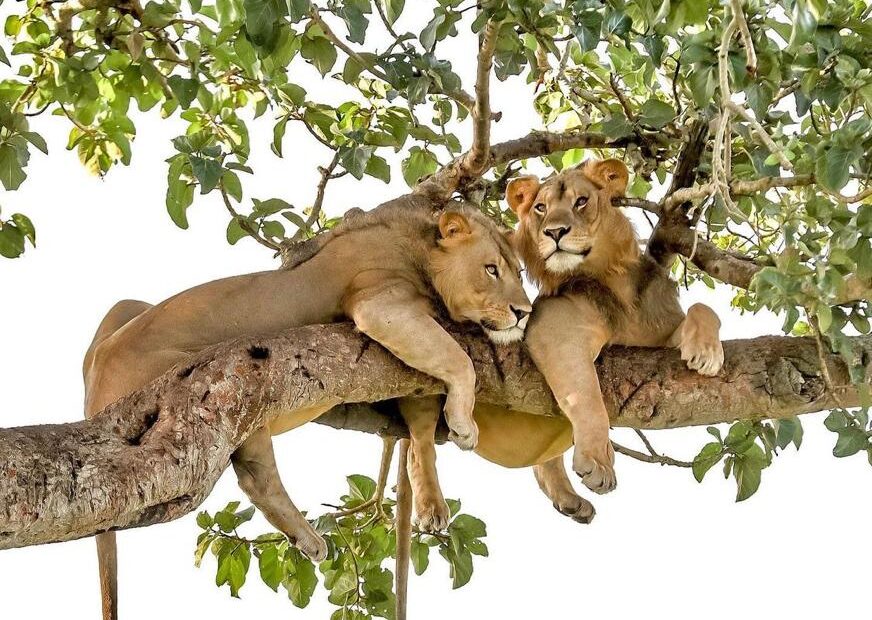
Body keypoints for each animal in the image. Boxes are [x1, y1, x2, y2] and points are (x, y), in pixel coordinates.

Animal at [82, 197, 532, 620]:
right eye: (491, 270)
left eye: (518, 272)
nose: (523, 313)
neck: (419, 248)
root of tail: (93, 391)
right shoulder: (382, 307)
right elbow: (459, 359)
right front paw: (464, 424)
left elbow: (421, 437)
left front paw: (431, 504)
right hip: (222, 376)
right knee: (257, 479)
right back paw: (310, 540)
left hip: (126, 308)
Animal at [403, 159, 724, 528]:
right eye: (541, 208)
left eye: (581, 201)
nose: (554, 233)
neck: (616, 281)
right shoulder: (555, 326)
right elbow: (586, 395)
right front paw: (598, 460)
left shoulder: (659, 333)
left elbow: (703, 308)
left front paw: (706, 352)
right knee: (418, 446)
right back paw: (431, 507)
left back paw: (569, 500)